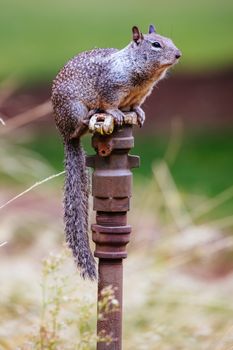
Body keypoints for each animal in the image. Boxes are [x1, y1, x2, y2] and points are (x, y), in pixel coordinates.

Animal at [52, 24, 181, 280]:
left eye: (170, 40)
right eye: (156, 45)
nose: (178, 54)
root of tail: (63, 133)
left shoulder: (141, 94)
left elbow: (136, 106)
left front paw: (138, 113)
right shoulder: (110, 88)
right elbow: (111, 104)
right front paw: (117, 113)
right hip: (73, 108)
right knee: (79, 124)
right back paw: (88, 118)